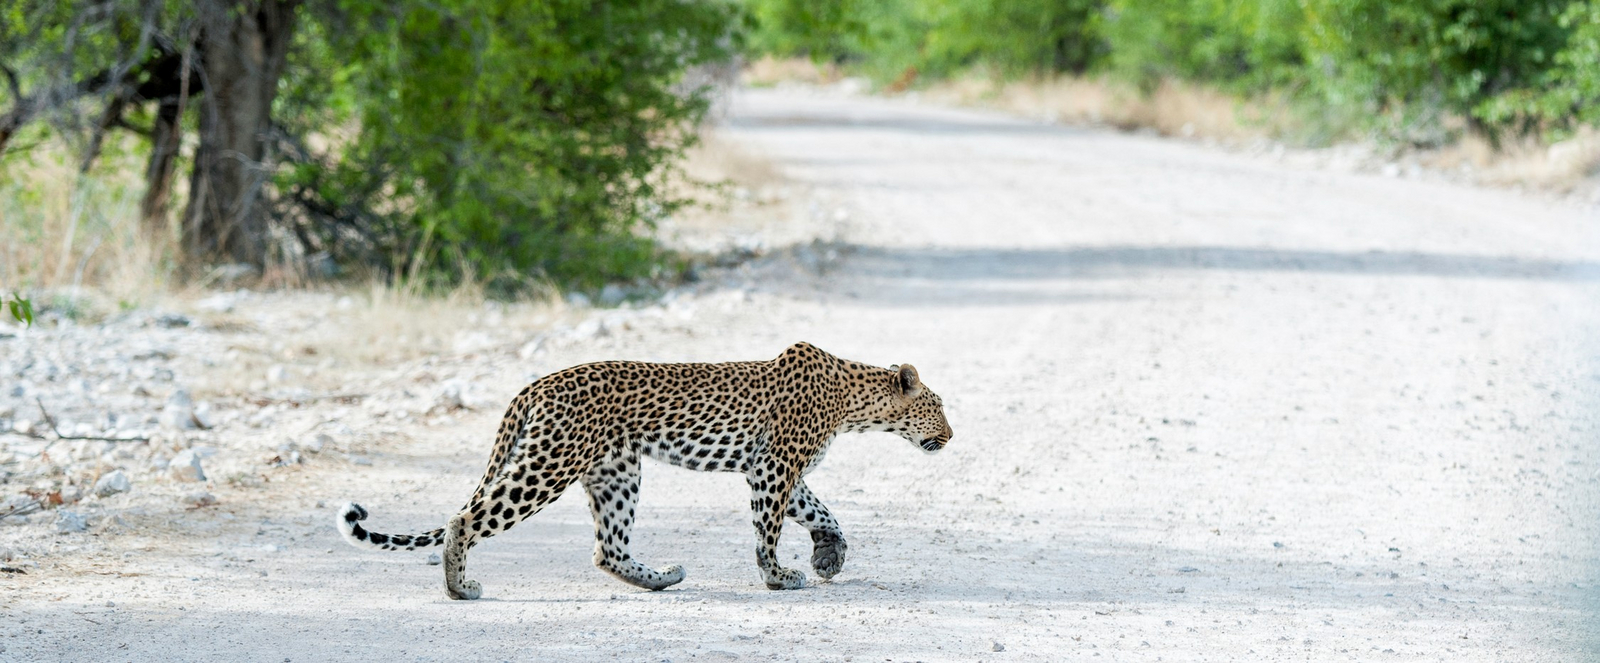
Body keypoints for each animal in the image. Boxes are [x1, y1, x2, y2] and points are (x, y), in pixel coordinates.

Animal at [337, 341, 952, 599]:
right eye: (939, 405)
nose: (950, 436)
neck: (855, 401)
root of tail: (534, 385)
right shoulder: (774, 467)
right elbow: (769, 529)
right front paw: (778, 577)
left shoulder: (775, 468)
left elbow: (822, 512)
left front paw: (829, 555)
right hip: (549, 464)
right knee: (465, 518)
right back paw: (460, 588)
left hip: (616, 472)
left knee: (606, 548)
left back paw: (661, 579)